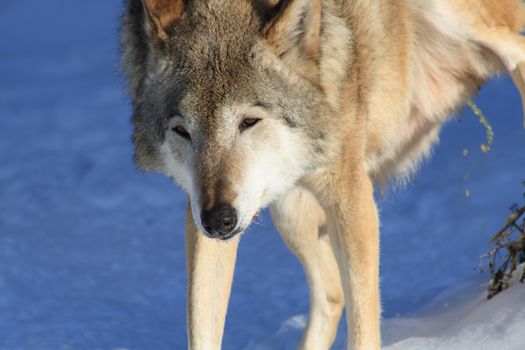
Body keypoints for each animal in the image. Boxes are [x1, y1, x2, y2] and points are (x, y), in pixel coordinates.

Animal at [121, 1, 524, 348]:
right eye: (182, 131)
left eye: (249, 121)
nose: (219, 220)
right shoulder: (199, 212)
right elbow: (202, 325)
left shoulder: (350, 191)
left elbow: (364, 321)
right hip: (289, 212)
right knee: (331, 293)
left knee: (516, 51)